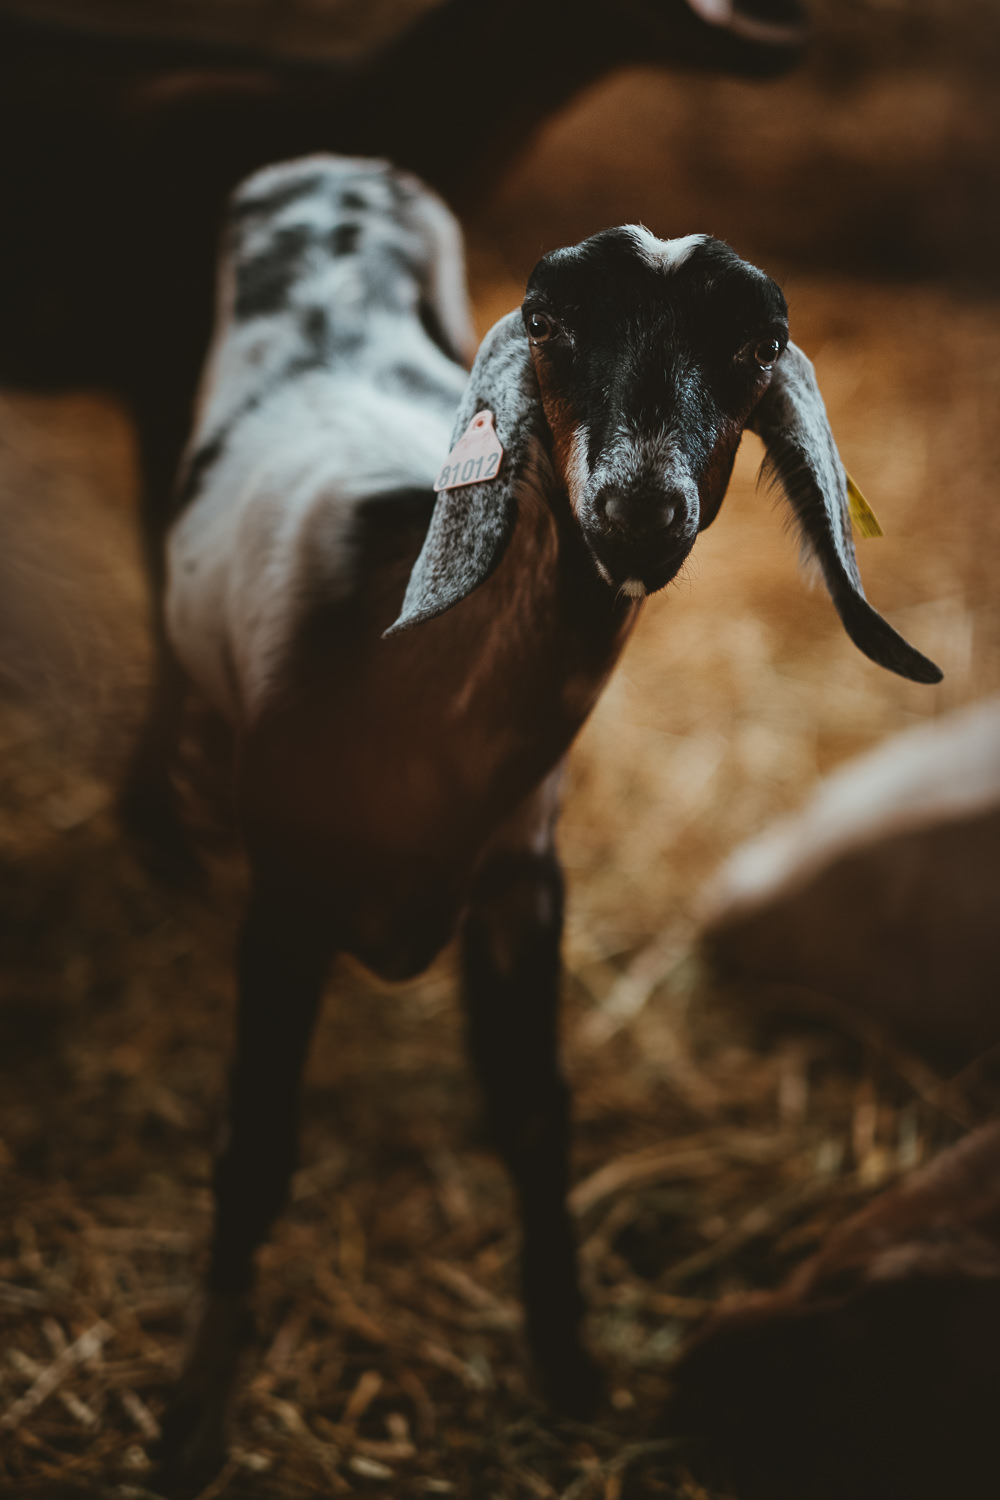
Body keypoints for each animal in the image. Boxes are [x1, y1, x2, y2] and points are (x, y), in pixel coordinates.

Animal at [154, 155, 941, 1488]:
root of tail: (333, 166)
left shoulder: (523, 880)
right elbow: (255, 1149)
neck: (395, 674)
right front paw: (192, 1422)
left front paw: (570, 1372)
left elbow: (533, 1115)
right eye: (550, 324)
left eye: (757, 344)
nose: (638, 509)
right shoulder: (288, 897)